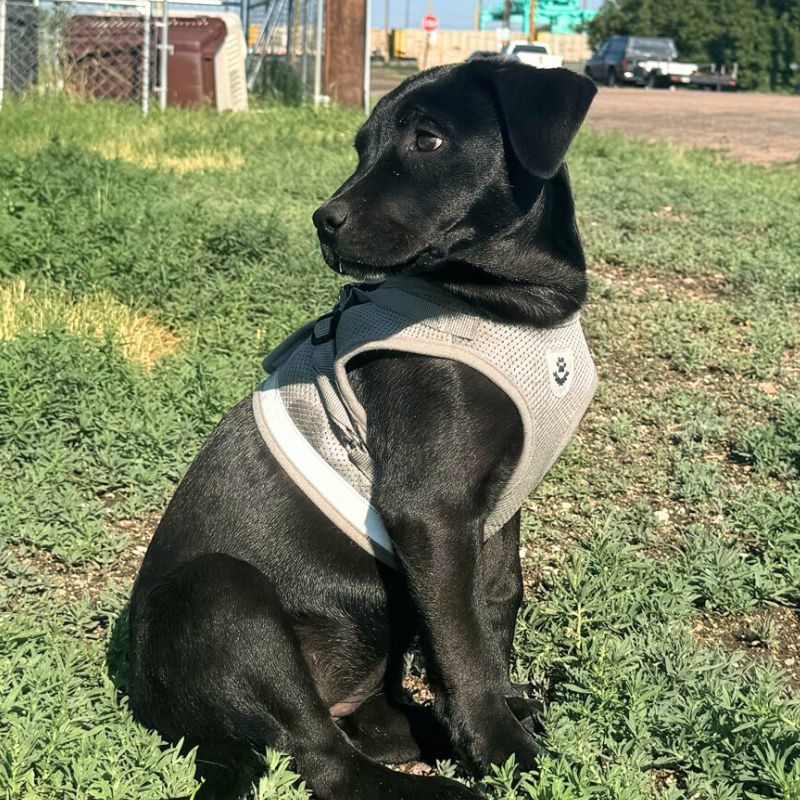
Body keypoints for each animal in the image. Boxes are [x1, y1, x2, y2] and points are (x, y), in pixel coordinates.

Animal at [128, 59, 596, 796]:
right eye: (360, 146)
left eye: (428, 140)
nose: (324, 221)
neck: (517, 308)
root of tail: (150, 704)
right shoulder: (430, 510)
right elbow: (464, 645)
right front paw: (504, 752)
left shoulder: (496, 508)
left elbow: (493, 606)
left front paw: (503, 714)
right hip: (224, 596)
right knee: (326, 759)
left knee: (365, 729)